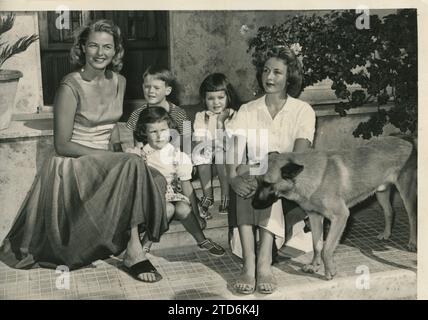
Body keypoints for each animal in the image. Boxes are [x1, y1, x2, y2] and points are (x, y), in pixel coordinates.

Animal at [252, 136, 416, 280]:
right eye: (257, 181)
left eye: (267, 184)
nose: (253, 205)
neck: (308, 175)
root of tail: (406, 140)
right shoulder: (315, 217)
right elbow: (317, 245)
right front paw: (314, 266)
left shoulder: (341, 216)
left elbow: (326, 249)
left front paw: (329, 270)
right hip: (381, 192)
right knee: (389, 212)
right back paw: (386, 234)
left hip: (407, 194)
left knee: (412, 217)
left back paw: (412, 243)